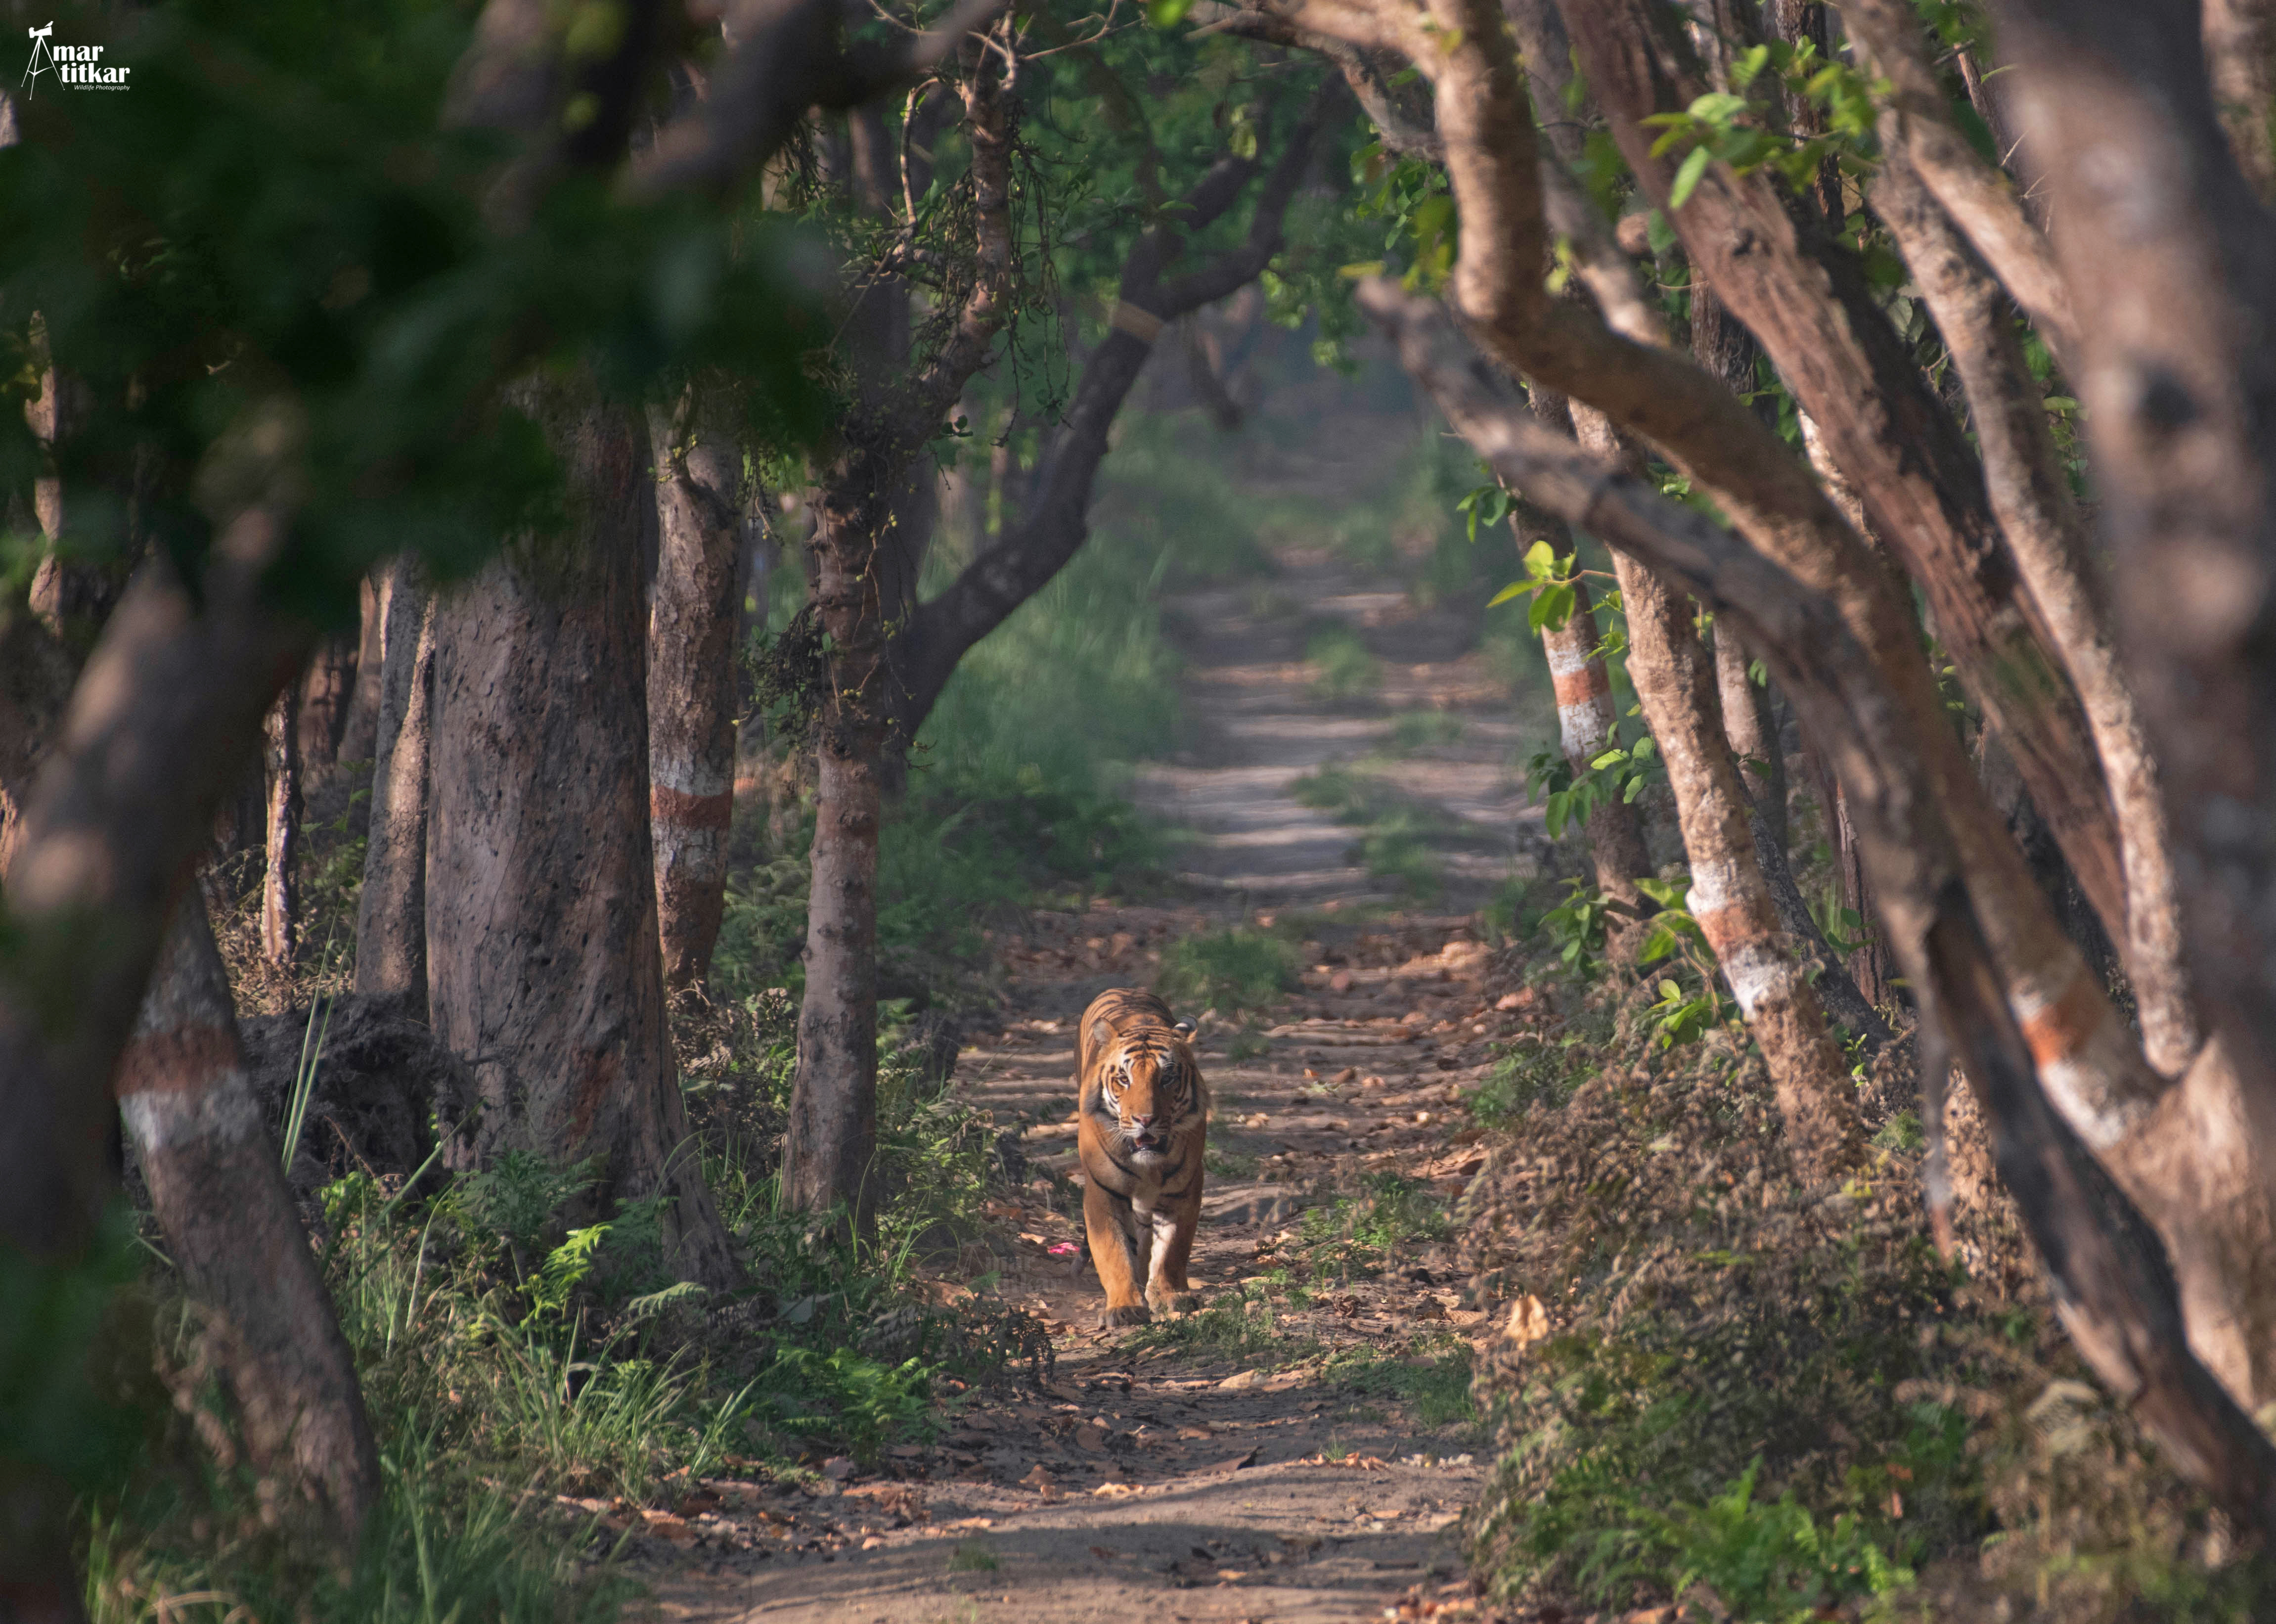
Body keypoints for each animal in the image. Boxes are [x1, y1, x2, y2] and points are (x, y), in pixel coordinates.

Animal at [1075, 987, 1211, 1328]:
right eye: (1124, 1079)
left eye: (1167, 1078)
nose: (1145, 1120)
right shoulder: (1103, 1193)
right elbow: (1113, 1251)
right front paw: (1125, 1306)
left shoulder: (1185, 1190)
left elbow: (1173, 1249)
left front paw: (1169, 1296)